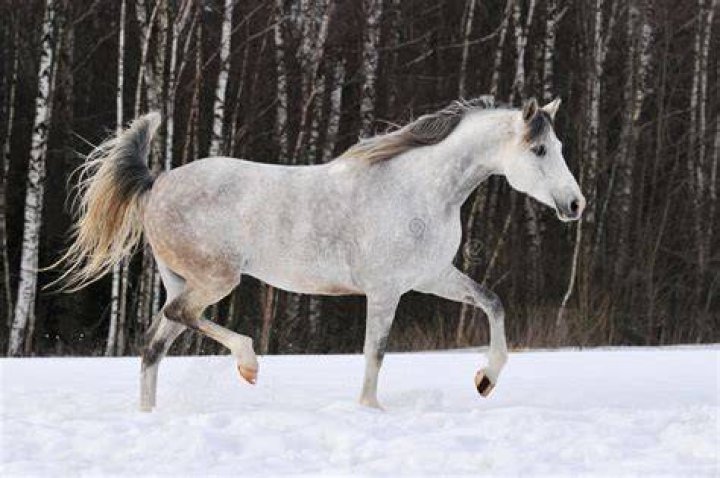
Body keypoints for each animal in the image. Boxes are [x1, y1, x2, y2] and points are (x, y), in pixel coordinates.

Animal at [56, 96, 584, 411]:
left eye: (558, 144)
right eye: (538, 150)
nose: (576, 204)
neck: (419, 188)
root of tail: (156, 183)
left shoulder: (432, 276)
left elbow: (493, 303)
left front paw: (484, 380)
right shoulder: (386, 290)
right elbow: (376, 350)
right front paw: (371, 408)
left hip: (186, 279)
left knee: (154, 344)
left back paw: (151, 414)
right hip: (216, 278)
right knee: (176, 318)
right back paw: (248, 363)